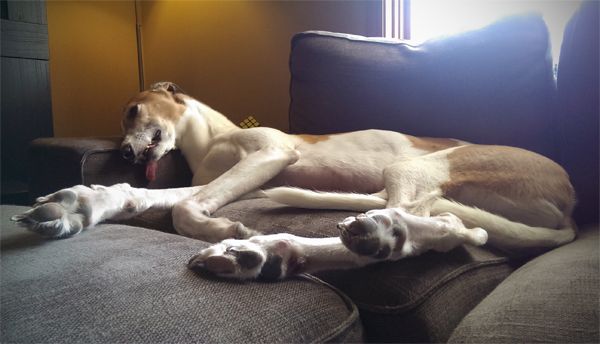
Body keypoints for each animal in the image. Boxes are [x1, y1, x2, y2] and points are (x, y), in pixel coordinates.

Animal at [12, 82, 576, 280]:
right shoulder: (228, 177)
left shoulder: (270, 154)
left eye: (132, 110)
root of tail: (570, 202)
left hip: (419, 169)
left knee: (441, 228)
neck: (214, 140)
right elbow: (151, 197)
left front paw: (223, 230)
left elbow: (184, 210)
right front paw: (78, 202)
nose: (127, 152)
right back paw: (266, 255)